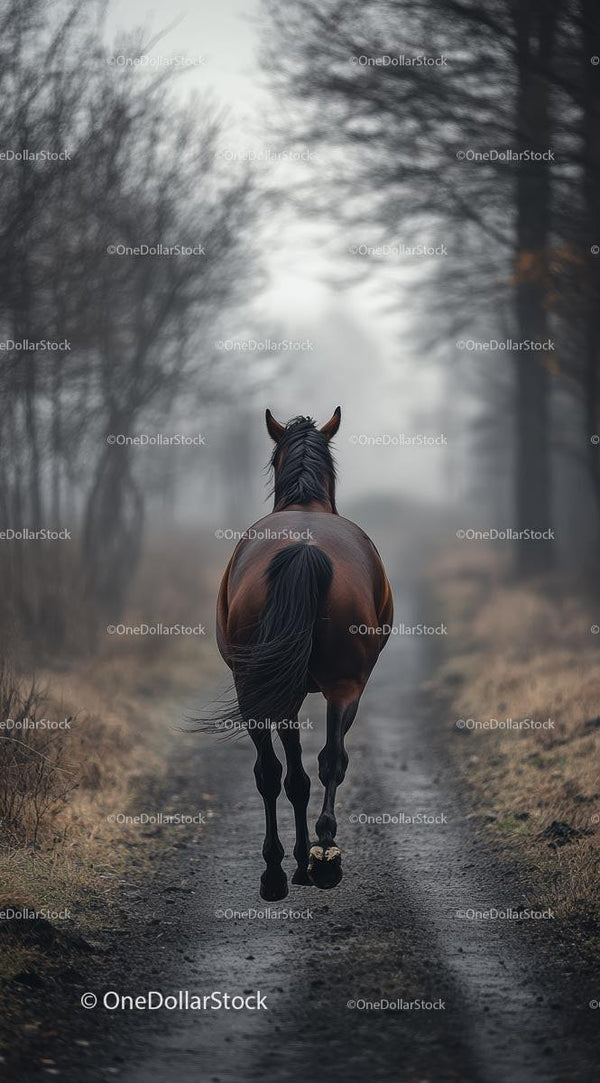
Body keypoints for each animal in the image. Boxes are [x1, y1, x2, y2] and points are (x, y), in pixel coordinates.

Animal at [216, 407, 393, 900]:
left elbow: (291, 775)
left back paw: (278, 872)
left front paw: (293, 862)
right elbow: (305, 771)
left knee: (273, 771)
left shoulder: (284, 691)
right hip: (342, 686)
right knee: (330, 760)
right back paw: (325, 853)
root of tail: (303, 548)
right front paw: (304, 859)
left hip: (259, 687)